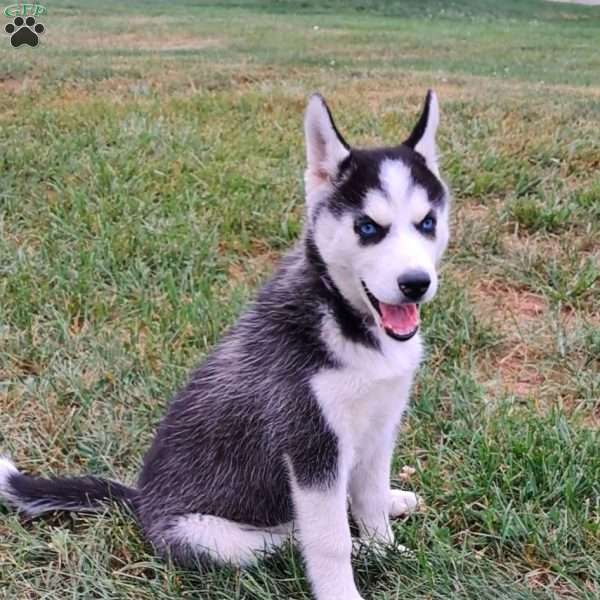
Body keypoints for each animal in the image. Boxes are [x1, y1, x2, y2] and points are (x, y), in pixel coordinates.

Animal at [1, 92, 450, 600]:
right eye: (369, 228)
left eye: (427, 223)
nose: (416, 284)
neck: (342, 317)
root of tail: (141, 503)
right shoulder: (310, 445)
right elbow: (329, 540)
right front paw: (350, 579)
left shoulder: (380, 422)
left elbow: (370, 498)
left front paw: (385, 548)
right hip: (211, 534)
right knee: (290, 538)